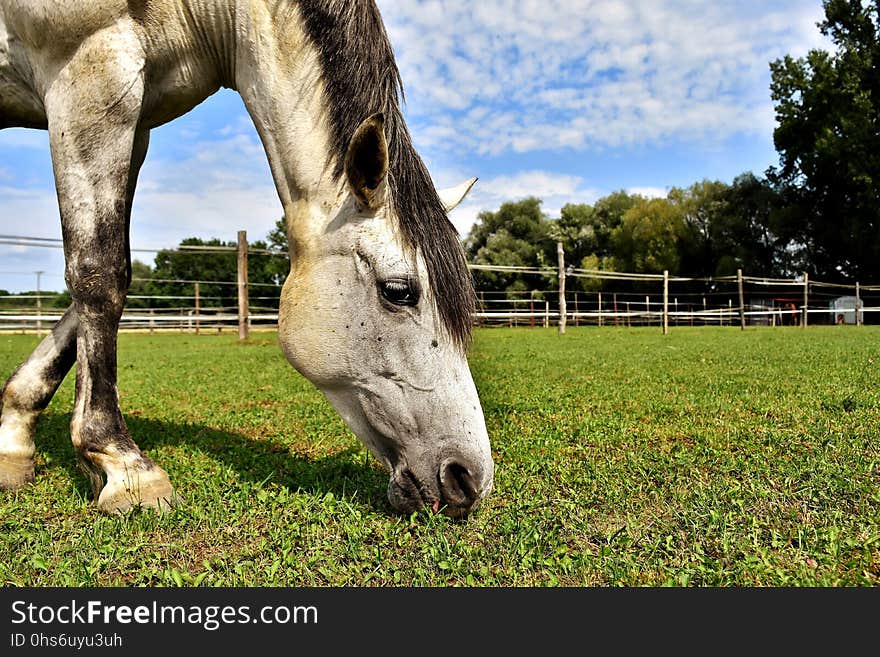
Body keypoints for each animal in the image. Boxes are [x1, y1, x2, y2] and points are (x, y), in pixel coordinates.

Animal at [0, 2, 496, 520]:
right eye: (398, 291)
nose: (469, 478)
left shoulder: (135, 123)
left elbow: (97, 287)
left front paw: (14, 438)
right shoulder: (88, 73)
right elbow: (100, 273)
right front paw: (124, 465)